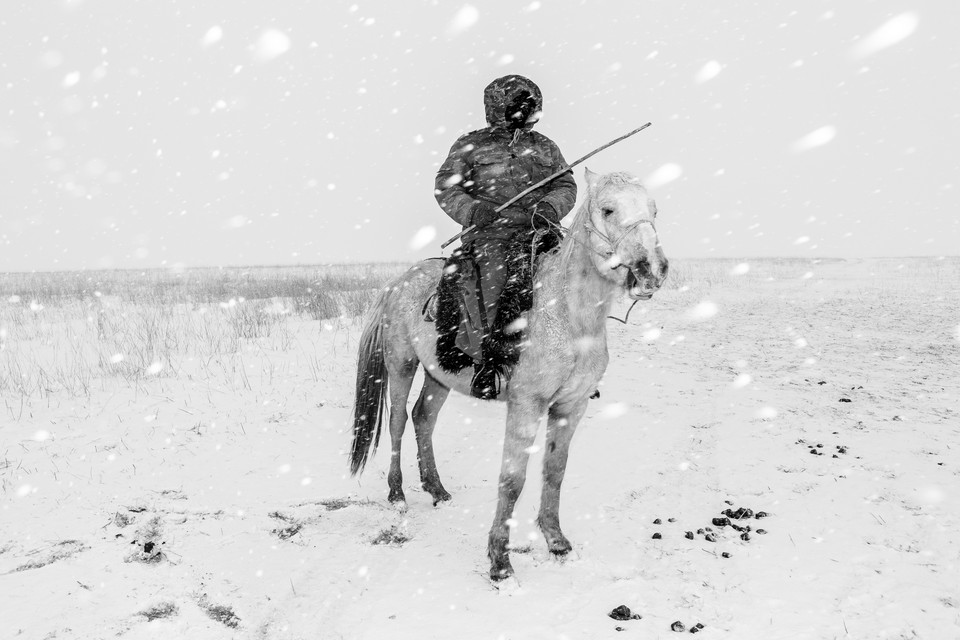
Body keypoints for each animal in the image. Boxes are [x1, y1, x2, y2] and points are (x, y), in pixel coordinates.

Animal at [348, 168, 672, 584]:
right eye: (608, 209)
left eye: (654, 210)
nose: (652, 270)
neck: (567, 316)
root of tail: (399, 281)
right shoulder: (526, 405)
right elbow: (512, 479)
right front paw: (499, 562)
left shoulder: (571, 406)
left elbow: (554, 471)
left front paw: (557, 541)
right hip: (401, 364)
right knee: (398, 421)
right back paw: (397, 495)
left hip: (439, 375)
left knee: (424, 418)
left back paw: (436, 489)